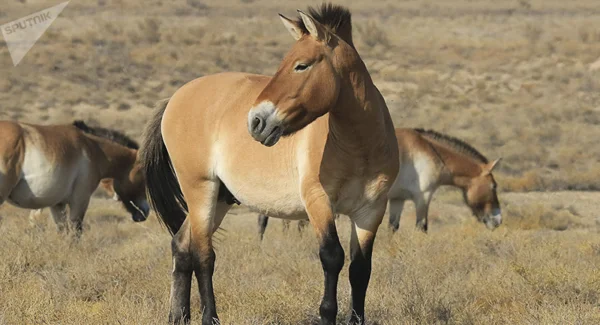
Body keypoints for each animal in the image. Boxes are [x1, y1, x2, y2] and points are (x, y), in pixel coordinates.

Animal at [0, 119, 149, 235]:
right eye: (143, 178)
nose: (145, 212)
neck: (92, 147)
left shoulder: (57, 205)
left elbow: (62, 231)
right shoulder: (80, 200)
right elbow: (75, 233)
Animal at [142, 3, 398, 324]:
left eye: (301, 65)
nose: (256, 121)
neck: (358, 148)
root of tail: (174, 98)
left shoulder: (371, 211)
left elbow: (360, 269)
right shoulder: (318, 202)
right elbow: (332, 257)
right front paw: (327, 313)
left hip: (221, 198)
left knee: (181, 246)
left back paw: (178, 316)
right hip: (201, 190)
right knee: (203, 255)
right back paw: (209, 317)